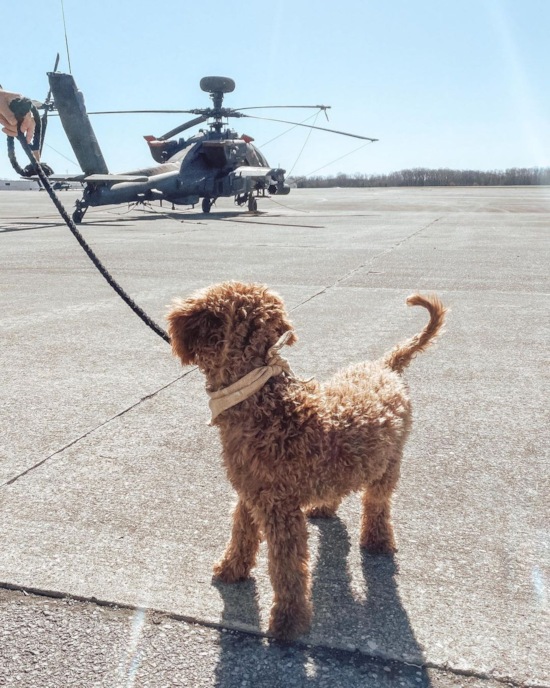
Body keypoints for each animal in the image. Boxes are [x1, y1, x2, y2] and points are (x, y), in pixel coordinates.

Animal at [168, 280, 448, 640]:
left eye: (209, 310)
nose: (175, 320)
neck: (264, 402)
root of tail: (386, 365)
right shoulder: (249, 491)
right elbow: (241, 533)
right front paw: (231, 569)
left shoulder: (279, 508)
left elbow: (286, 566)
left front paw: (288, 621)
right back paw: (324, 507)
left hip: (389, 461)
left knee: (377, 502)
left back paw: (378, 540)